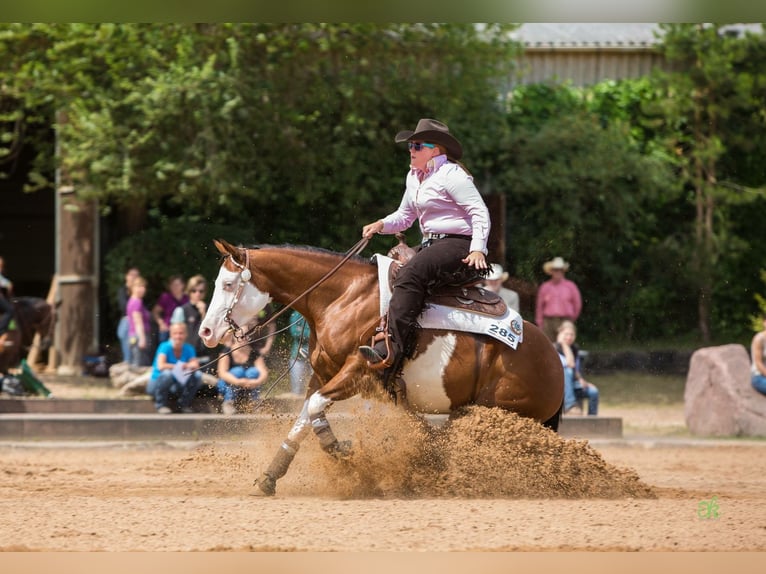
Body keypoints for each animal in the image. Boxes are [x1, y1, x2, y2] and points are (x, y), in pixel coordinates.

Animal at [199, 239, 564, 496]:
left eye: (228, 285)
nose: (205, 332)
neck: (342, 297)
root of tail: (554, 362)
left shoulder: (358, 373)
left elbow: (314, 406)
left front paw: (339, 449)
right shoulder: (323, 374)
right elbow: (306, 415)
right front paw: (271, 476)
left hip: (500, 412)